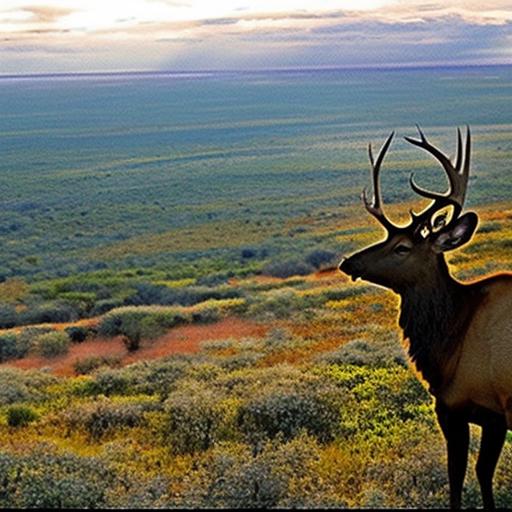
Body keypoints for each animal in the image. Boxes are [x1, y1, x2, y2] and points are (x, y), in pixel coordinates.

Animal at [340, 127, 512, 508]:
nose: (348, 262)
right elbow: (479, 475)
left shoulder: (466, 409)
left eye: (402, 247)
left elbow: (461, 476)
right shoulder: (481, 415)